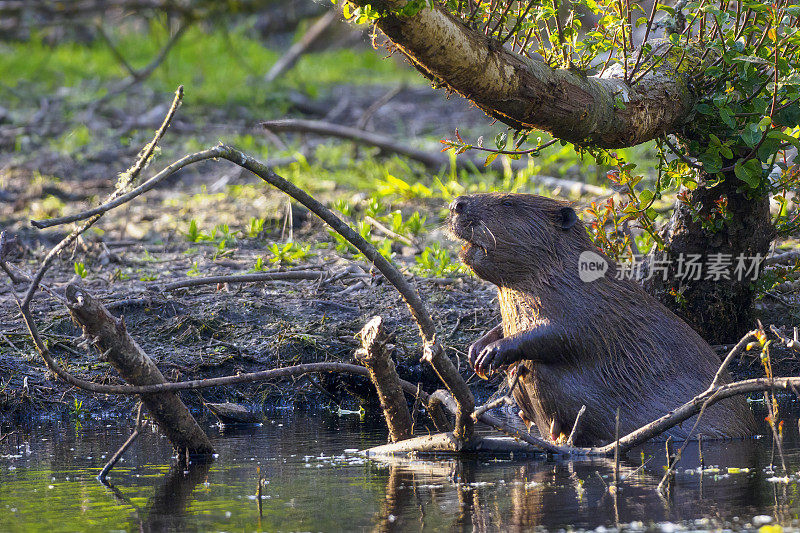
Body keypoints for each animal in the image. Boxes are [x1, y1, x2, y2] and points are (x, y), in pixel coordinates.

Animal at [446, 191, 760, 444]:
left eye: (508, 202)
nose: (456, 204)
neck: (565, 270)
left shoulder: (587, 301)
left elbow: (565, 334)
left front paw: (491, 353)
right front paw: (477, 350)